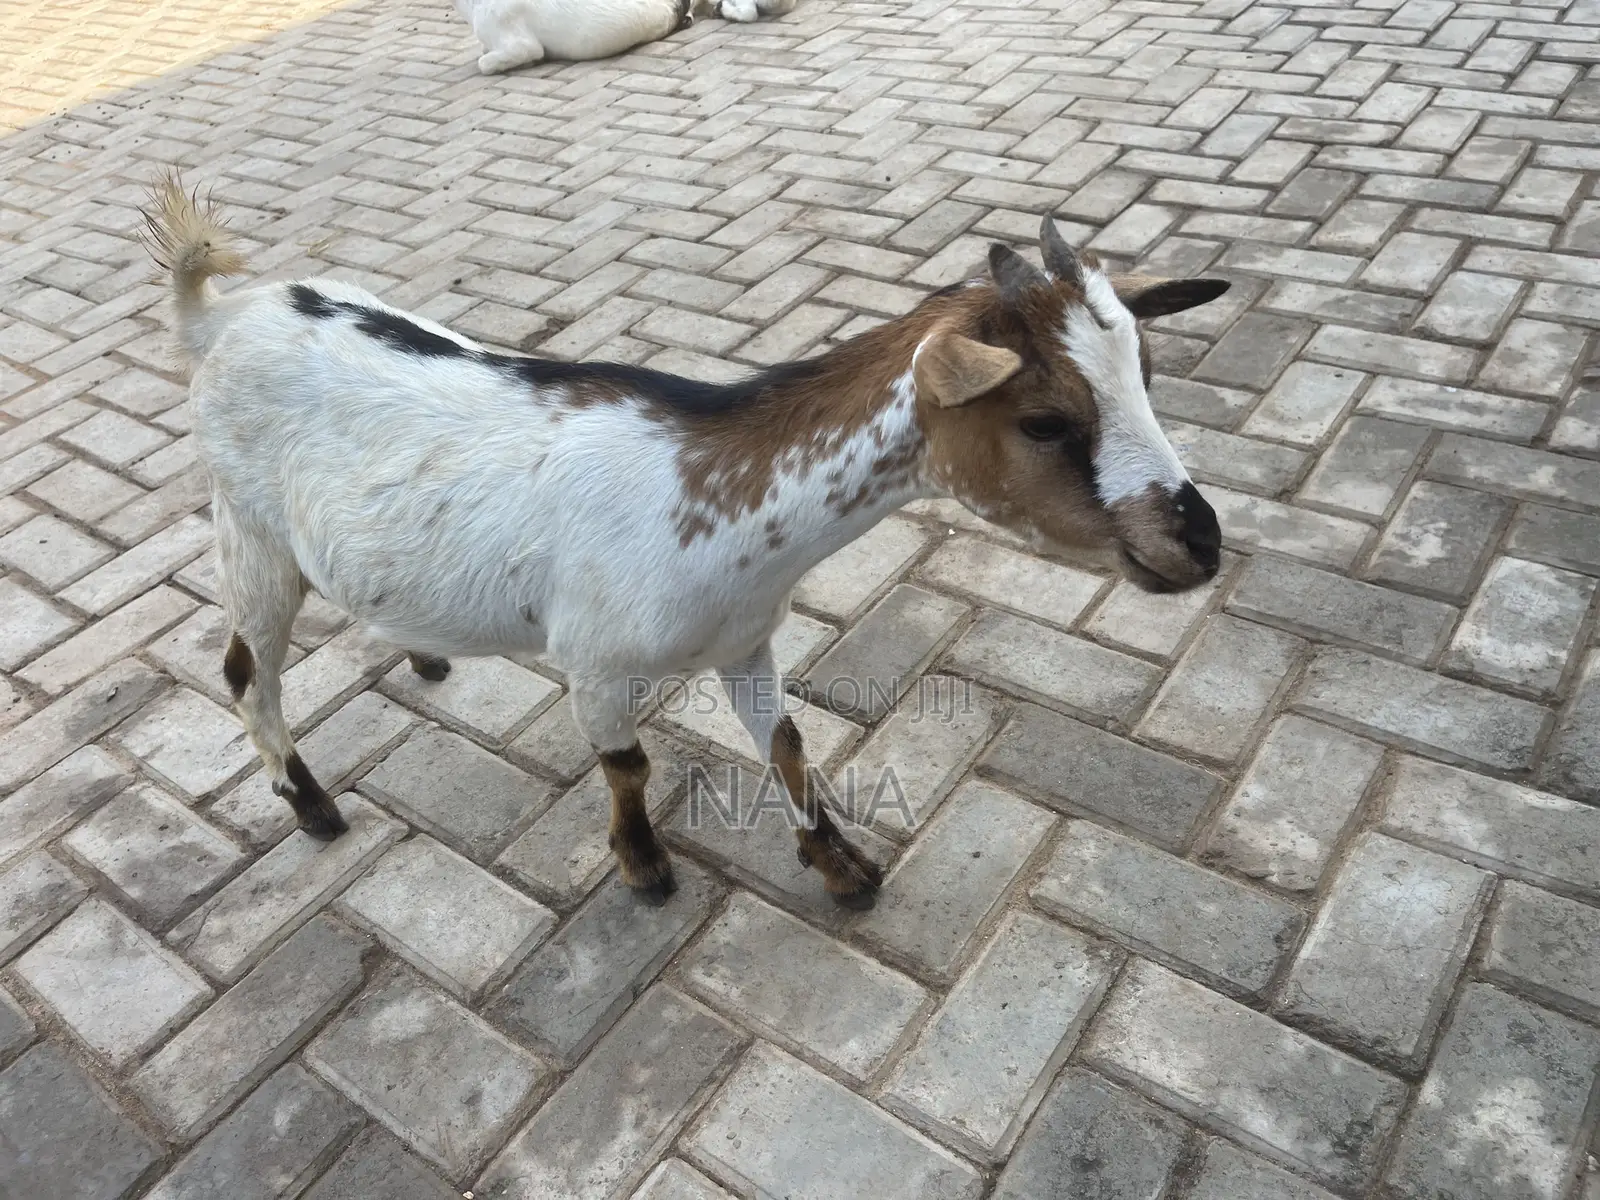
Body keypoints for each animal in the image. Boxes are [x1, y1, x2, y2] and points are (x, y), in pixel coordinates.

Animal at [143, 173, 1228, 910]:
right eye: (1044, 422)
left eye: (1145, 374)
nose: (1200, 544)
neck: (712, 509)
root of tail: (216, 314)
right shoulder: (592, 661)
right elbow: (627, 768)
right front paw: (646, 868)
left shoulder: (744, 641)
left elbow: (786, 744)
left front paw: (839, 865)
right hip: (247, 528)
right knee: (246, 670)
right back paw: (311, 806)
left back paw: (423, 655)